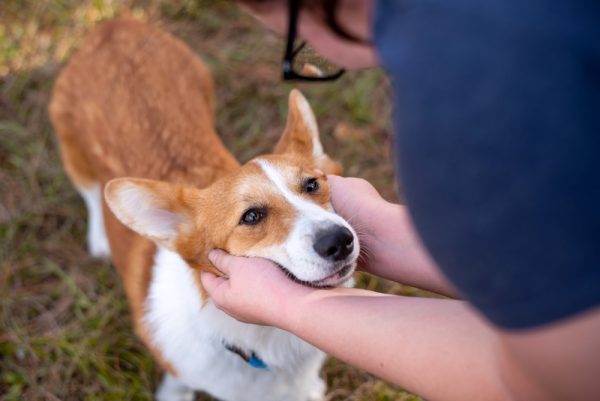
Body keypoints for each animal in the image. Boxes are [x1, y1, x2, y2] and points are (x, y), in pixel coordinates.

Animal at [49, 17, 358, 398]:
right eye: (251, 216)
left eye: (312, 185)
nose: (339, 241)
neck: (262, 341)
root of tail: (112, 26)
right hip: (73, 152)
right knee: (91, 193)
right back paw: (99, 238)